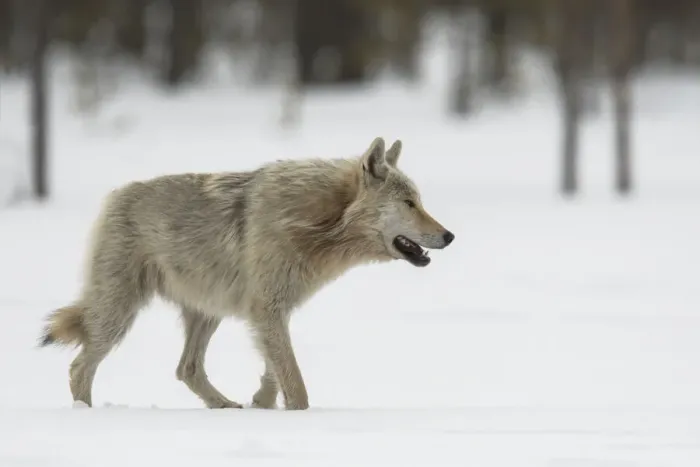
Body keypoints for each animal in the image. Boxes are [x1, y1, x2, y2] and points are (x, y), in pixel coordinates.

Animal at [39, 136, 455, 410]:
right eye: (409, 203)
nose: (449, 236)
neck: (317, 221)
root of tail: (114, 196)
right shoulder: (268, 309)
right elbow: (296, 386)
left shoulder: (270, 311)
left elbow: (274, 370)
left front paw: (262, 406)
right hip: (121, 314)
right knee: (79, 366)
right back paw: (84, 415)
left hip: (208, 312)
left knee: (186, 368)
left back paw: (225, 408)